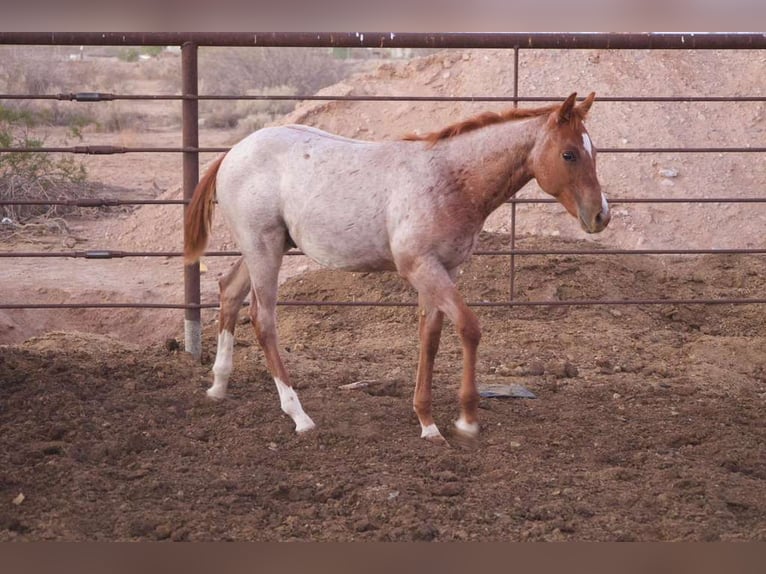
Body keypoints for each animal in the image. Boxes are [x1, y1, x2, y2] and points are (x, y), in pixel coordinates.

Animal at [184, 92, 610, 444]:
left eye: (594, 152)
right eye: (569, 154)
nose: (601, 215)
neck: (449, 179)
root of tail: (232, 152)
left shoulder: (444, 270)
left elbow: (430, 336)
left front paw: (427, 422)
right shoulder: (420, 267)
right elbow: (469, 327)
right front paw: (467, 420)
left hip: (263, 248)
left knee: (229, 290)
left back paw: (218, 386)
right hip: (264, 248)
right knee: (262, 317)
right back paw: (299, 415)